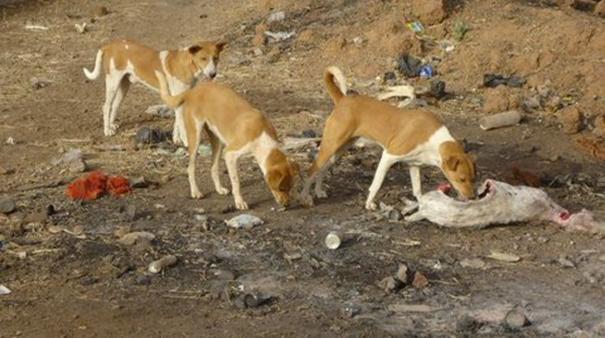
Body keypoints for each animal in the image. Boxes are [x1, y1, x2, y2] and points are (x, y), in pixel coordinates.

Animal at [302, 65, 476, 209]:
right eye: (461, 179)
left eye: (473, 178)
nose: (473, 197)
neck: (435, 141)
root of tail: (343, 99)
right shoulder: (388, 156)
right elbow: (376, 185)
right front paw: (369, 204)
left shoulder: (414, 165)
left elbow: (417, 190)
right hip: (331, 144)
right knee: (311, 170)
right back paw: (306, 197)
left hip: (339, 149)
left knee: (323, 169)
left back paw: (318, 191)